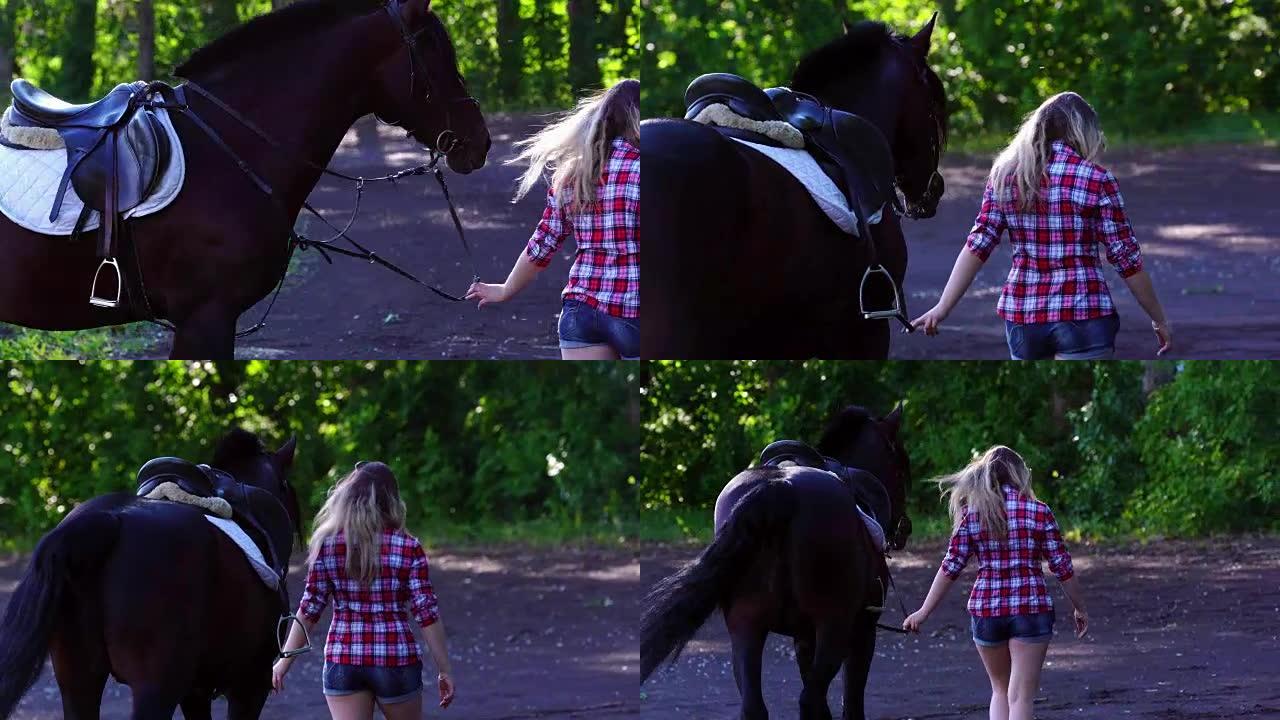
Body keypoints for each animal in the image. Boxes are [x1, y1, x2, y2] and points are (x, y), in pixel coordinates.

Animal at [0, 427, 302, 712]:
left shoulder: (195, 693)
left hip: (78, 681)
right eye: (287, 487)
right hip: (156, 688)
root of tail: (108, 520)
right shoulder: (250, 686)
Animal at [640, 404, 911, 717]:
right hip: (834, 627)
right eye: (901, 469)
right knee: (810, 698)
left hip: (746, 628)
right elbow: (851, 702)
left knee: (756, 706)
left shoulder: (803, 637)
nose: (905, 529)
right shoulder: (862, 632)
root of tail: (782, 488)